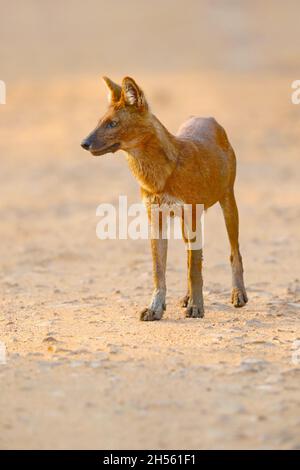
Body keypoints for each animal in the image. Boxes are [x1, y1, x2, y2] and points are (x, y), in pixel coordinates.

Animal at [81, 76, 247, 320]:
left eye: (113, 123)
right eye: (99, 122)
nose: (84, 143)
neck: (160, 174)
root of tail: (206, 117)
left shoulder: (193, 216)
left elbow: (194, 268)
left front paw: (197, 307)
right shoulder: (156, 220)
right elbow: (160, 271)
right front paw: (156, 307)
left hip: (228, 205)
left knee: (234, 253)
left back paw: (238, 294)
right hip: (185, 225)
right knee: (193, 257)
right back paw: (187, 296)